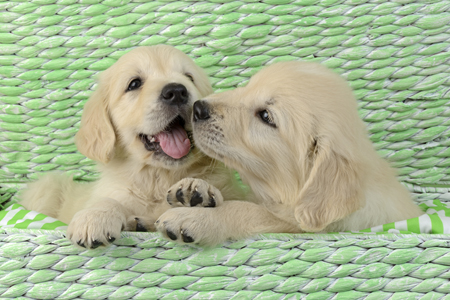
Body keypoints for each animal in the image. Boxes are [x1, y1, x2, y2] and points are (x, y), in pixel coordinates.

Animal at [19, 45, 246, 248]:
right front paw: (94, 218)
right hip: (45, 188)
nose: (176, 91)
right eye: (134, 84)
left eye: (189, 78)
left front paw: (196, 188)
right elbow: (107, 200)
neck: (158, 177)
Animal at [156, 59, 424, 245]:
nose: (198, 108)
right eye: (248, 87)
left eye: (266, 116)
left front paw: (197, 219)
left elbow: (249, 211)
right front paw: (196, 188)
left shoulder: (301, 226)